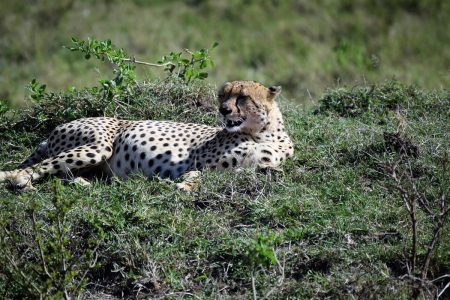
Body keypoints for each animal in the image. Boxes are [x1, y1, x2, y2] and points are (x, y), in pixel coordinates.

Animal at [0, 81, 294, 190]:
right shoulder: (198, 162)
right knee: (35, 168)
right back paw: (20, 179)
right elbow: (197, 174)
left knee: (62, 173)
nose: (223, 110)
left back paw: (83, 183)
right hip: (98, 146)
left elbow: (262, 170)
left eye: (242, 97)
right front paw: (183, 185)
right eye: (223, 96)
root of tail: (52, 132)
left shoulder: (249, 167)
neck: (263, 133)